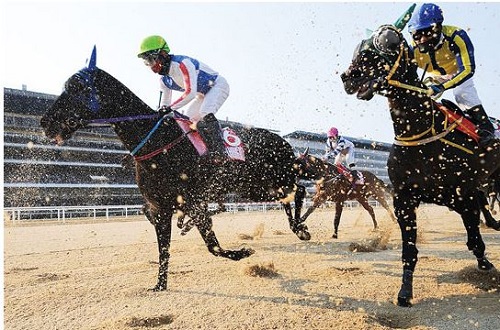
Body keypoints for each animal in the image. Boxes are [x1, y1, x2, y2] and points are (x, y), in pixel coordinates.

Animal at [40, 47, 308, 292]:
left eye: (77, 87)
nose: (46, 122)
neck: (158, 141)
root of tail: (284, 141)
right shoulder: (160, 207)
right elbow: (164, 249)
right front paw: (160, 285)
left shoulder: (195, 202)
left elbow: (213, 246)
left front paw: (242, 251)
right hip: (257, 188)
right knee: (290, 195)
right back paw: (298, 227)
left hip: (272, 180)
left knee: (300, 190)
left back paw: (301, 228)